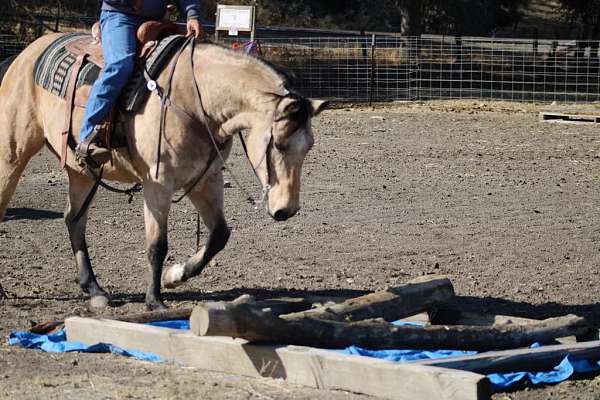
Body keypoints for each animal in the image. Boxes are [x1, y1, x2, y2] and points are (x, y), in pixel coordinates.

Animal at [0, 32, 328, 310]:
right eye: (279, 144)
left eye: (309, 146)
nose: (287, 210)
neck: (194, 100)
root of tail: (23, 56)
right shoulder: (158, 183)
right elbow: (157, 244)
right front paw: (154, 300)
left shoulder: (205, 179)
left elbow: (219, 235)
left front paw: (176, 275)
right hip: (13, 153)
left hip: (81, 171)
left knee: (73, 219)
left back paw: (94, 289)